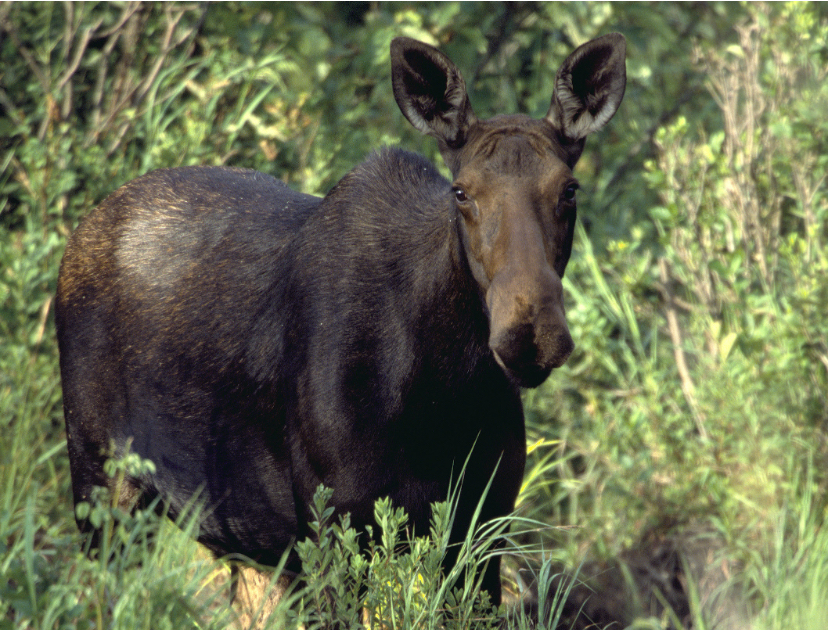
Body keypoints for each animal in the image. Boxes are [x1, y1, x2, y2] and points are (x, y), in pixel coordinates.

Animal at [55, 34, 626, 608]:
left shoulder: (484, 527)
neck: (438, 392)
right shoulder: (332, 525)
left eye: (569, 189)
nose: (531, 332)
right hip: (101, 482)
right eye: (461, 191)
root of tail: (83, 230)